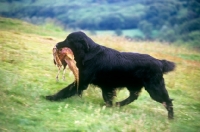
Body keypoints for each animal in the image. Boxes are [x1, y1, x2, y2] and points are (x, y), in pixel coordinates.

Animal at [46, 31, 176, 119]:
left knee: (168, 101)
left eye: (69, 40)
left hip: (155, 89)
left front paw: (51, 97)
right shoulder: (106, 86)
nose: (56, 45)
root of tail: (159, 62)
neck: (89, 54)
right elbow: (107, 97)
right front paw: (109, 106)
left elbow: (65, 90)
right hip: (133, 85)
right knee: (134, 96)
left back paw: (170, 118)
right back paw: (119, 104)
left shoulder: (83, 81)